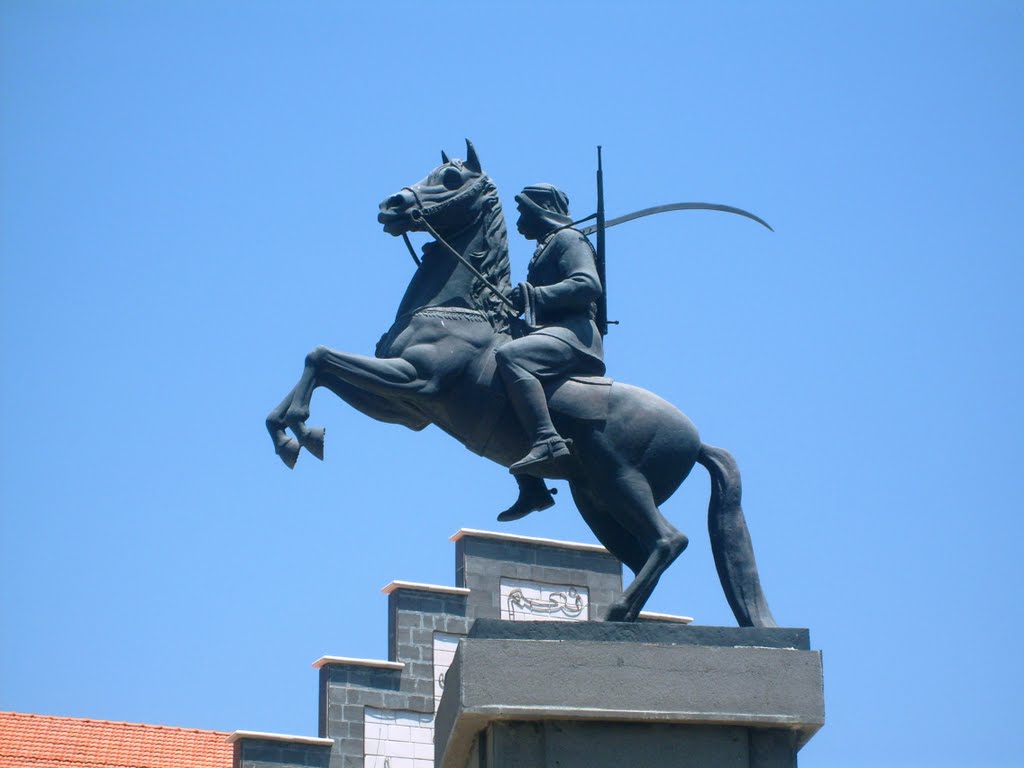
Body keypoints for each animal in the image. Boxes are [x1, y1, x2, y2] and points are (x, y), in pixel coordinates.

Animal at [266, 141, 774, 626]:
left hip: (622, 481)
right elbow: (321, 362)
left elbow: (322, 358)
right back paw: (622, 612)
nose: (392, 204)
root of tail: (697, 439)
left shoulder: (416, 382)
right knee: (645, 553)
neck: (459, 311)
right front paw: (292, 433)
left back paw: (614, 610)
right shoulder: (405, 409)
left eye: (450, 179)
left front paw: (299, 433)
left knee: (670, 540)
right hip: (596, 502)